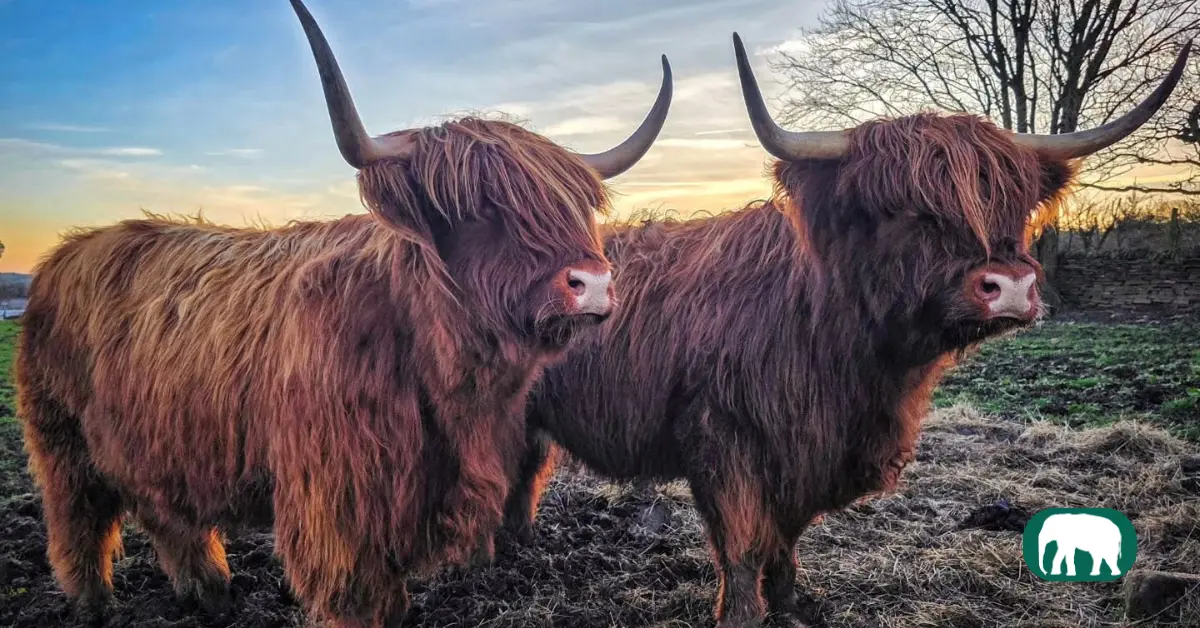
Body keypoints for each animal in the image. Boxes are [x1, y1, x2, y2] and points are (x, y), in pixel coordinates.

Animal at [13, 2, 673, 627]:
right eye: (479, 206)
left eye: (575, 205)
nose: (593, 285)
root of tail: (66, 253)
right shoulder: (337, 501)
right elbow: (359, 597)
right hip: (62, 438)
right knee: (78, 521)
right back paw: (95, 605)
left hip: (155, 440)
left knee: (166, 513)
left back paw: (211, 594)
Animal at [494, 33, 1192, 628]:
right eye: (905, 210)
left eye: (1013, 204)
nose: (1012, 287)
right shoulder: (725, 440)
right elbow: (743, 544)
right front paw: (743, 614)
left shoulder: (813, 453)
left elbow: (786, 538)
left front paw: (792, 603)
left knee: (525, 469)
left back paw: (522, 548)